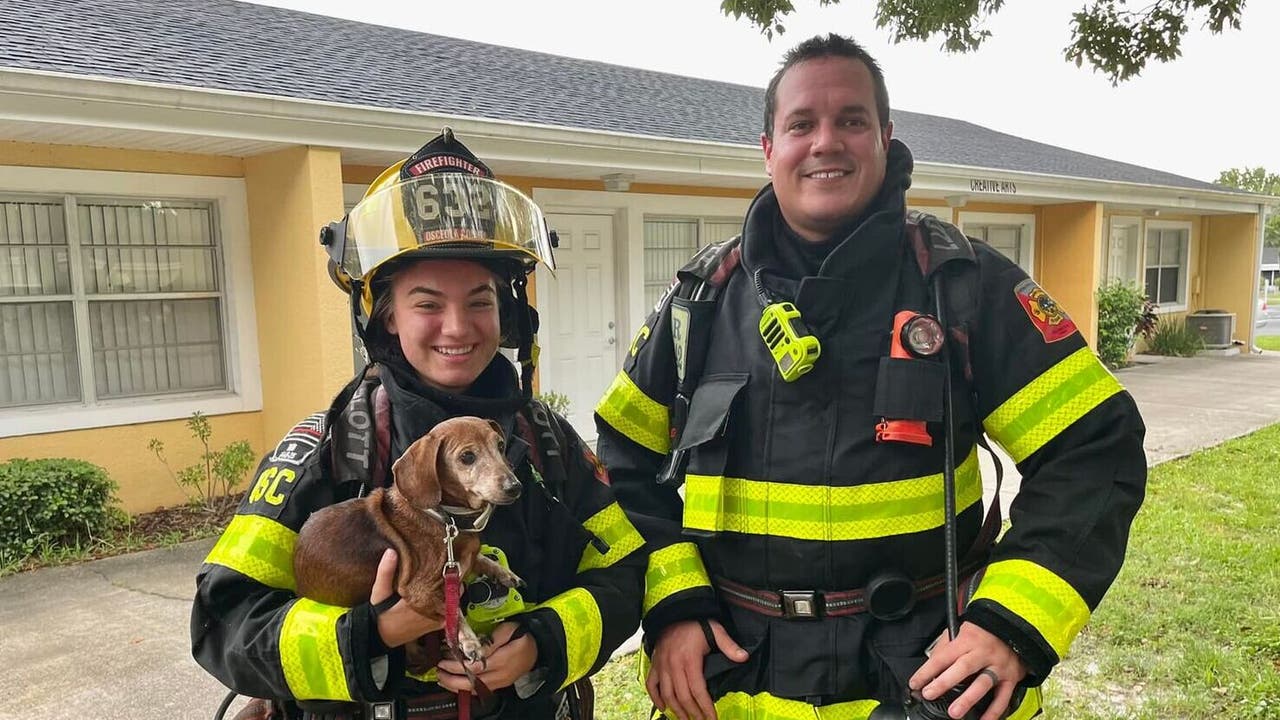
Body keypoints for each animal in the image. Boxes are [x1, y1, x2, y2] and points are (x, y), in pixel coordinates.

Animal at [293, 415, 522, 661]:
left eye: (500, 445)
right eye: (467, 457)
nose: (515, 487)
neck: (445, 518)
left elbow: (480, 558)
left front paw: (503, 572)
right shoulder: (419, 591)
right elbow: (453, 612)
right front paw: (469, 640)